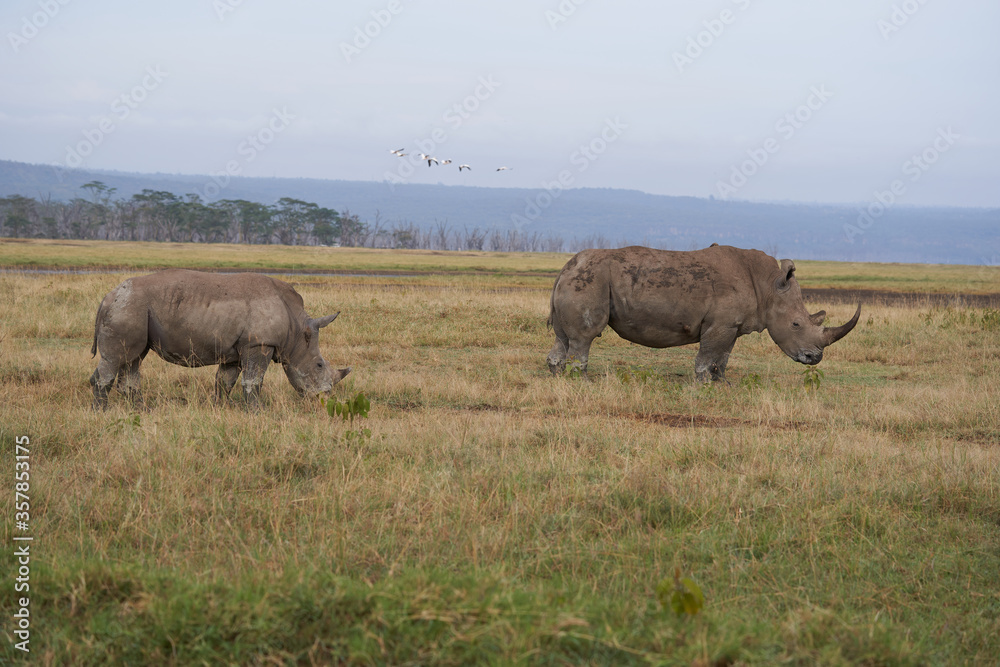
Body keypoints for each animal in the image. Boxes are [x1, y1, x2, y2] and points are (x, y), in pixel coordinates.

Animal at [90, 269, 350, 409]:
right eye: (319, 365)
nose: (324, 398)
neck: (296, 330)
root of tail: (106, 298)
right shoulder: (259, 344)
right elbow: (254, 381)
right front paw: (258, 411)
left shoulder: (236, 350)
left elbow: (225, 381)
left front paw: (222, 408)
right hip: (128, 307)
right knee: (117, 359)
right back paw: (102, 411)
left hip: (133, 310)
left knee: (133, 358)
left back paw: (141, 410)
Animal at [547, 245, 860, 382]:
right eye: (796, 324)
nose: (814, 358)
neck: (768, 286)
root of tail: (567, 265)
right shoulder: (719, 324)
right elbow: (708, 355)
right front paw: (703, 384)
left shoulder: (731, 325)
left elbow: (723, 357)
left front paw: (722, 383)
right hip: (591, 280)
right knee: (584, 338)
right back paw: (583, 381)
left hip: (578, 280)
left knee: (562, 337)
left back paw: (557, 377)